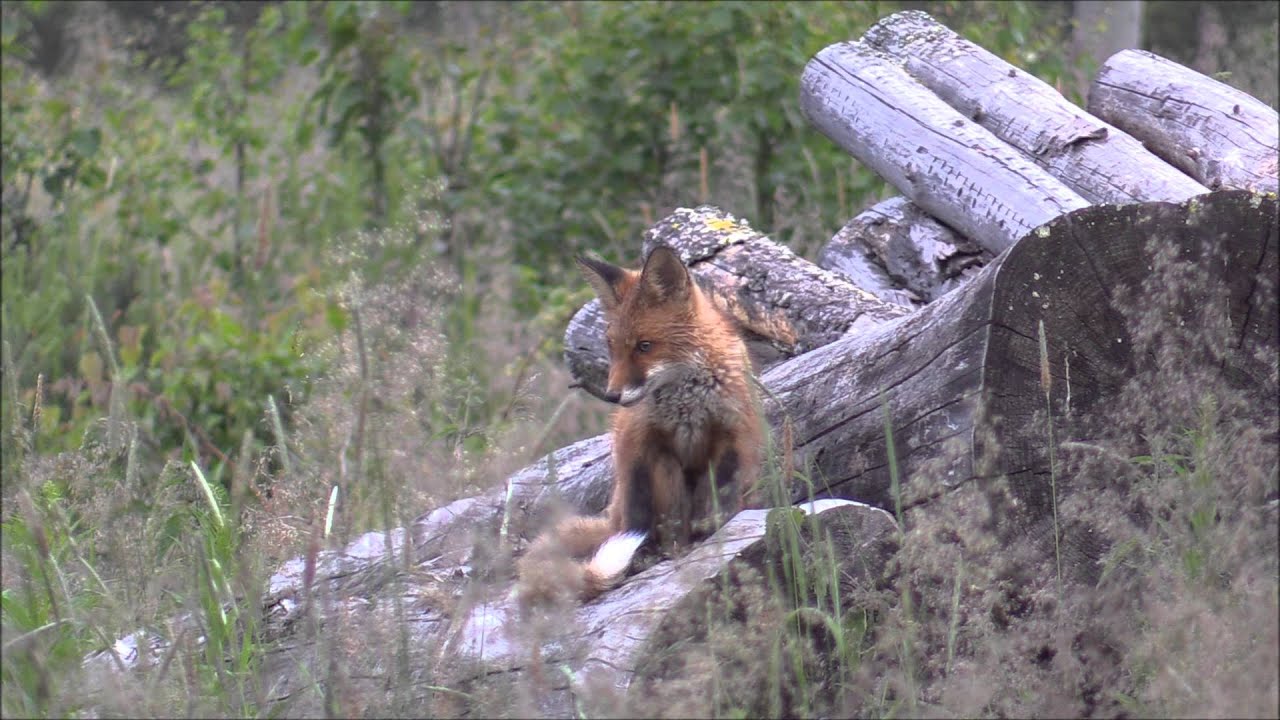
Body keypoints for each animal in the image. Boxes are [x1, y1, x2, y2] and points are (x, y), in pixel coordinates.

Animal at [517, 244, 763, 607]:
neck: (686, 404)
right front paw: (640, 557)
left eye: (644, 346)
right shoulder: (638, 445)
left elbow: (720, 500)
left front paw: (712, 533)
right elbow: (639, 514)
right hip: (664, 471)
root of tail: (609, 520)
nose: (612, 395)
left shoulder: (733, 435)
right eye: (612, 347)